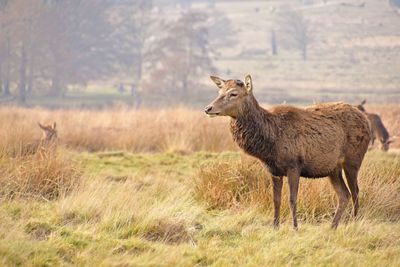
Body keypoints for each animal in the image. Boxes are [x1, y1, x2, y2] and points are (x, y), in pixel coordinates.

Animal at [205, 75, 370, 230]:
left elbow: (292, 199)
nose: (208, 108)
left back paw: (354, 223)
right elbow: (276, 200)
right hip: (333, 169)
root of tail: (366, 120)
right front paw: (275, 227)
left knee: (355, 192)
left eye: (233, 93)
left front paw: (295, 228)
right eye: (219, 91)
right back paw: (332, 226)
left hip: (353, 160)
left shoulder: (294, 165)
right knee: (344, 194)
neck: (270, 143)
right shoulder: (273, 170)